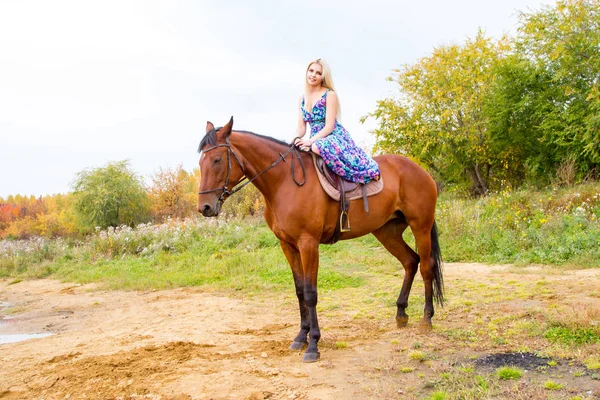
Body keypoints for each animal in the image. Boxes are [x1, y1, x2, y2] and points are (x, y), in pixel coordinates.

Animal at [197, 116, 440, 362]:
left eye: (217, 159)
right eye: (200, 163)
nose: (205, 207)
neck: (284, 182)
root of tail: (419, 170)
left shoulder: (308, 244)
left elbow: (311, 293)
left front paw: (313, 344)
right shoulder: (288, 246)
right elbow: (299, 291)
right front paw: (300, 337)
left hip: (420, 226)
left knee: (426, 266)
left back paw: (426, 318)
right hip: (387, 232)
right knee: (410, 261)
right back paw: (401, 313)